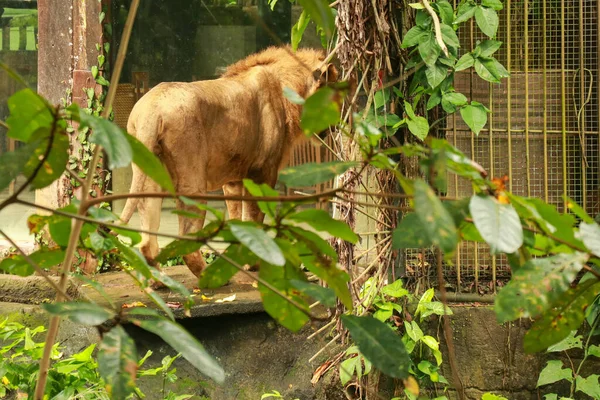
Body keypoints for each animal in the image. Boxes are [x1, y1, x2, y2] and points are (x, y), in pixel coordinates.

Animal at [119, 46, 336, 278]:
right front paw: (253, 263)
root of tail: (152, 108)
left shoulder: (234, 179)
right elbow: (254, 217)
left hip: (149, 171)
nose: (335, 124)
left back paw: (157, 280)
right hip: (193, 180)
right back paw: (209, 276)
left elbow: (237, 217)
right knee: (187, 240)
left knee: (146, 233)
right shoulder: (262, 173)